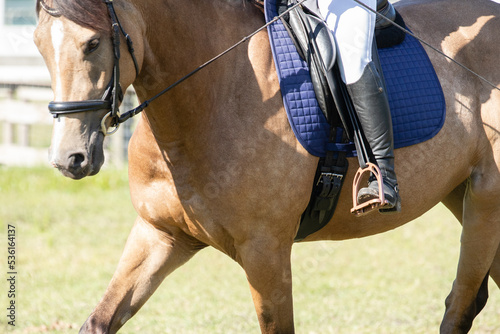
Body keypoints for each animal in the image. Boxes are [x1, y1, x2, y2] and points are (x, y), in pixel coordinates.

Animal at [34, 0, 500, 332]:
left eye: (93, 43)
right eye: (39, 44)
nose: (68, 158)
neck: (212, 93)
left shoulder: (265, 252)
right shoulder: (161, 234)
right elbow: (99, 320)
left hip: (485, 200)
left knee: (461, 305)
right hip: (460, 196)